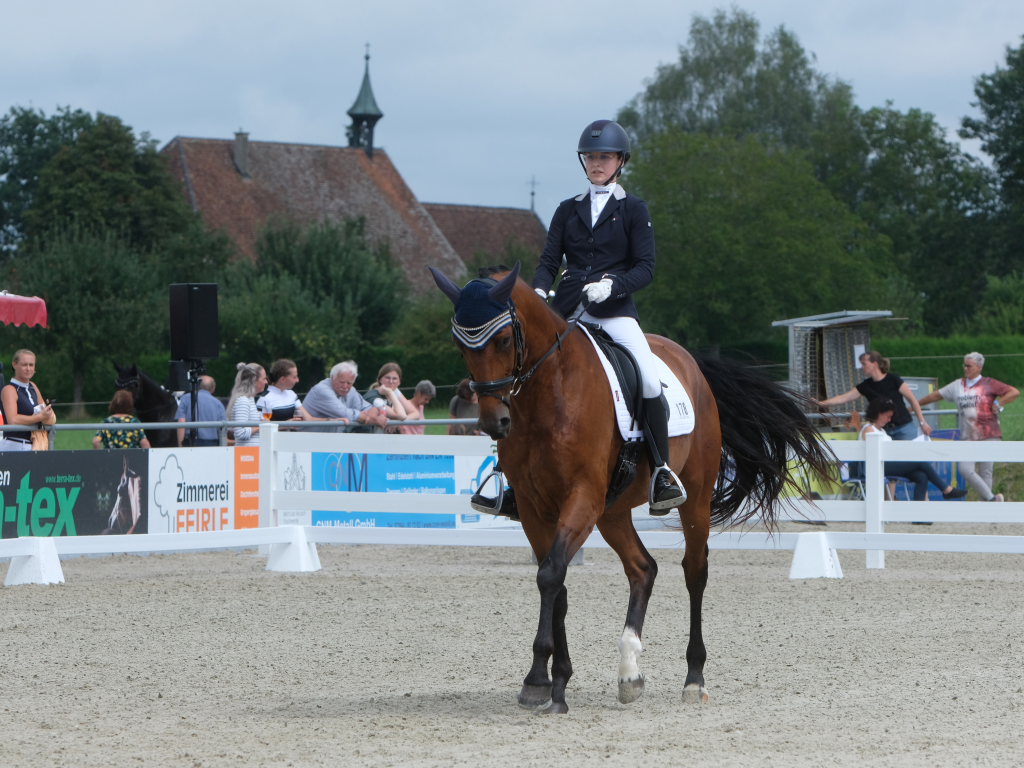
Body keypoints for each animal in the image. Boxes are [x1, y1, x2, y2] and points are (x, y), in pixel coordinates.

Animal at [429, 263, 835, 714]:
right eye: (460, 345)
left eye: (502, 339)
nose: (493, 422)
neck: (549, 392)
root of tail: (690, 362)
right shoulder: (536, 509)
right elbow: (555, 581)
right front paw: (557, 682)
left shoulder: (582, 498)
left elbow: (551, 575)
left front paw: (538, 680)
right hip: (613, 511)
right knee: (643, 568)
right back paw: (629, 673)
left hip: (691, 498)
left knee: (694, 572)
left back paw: (694, 678)